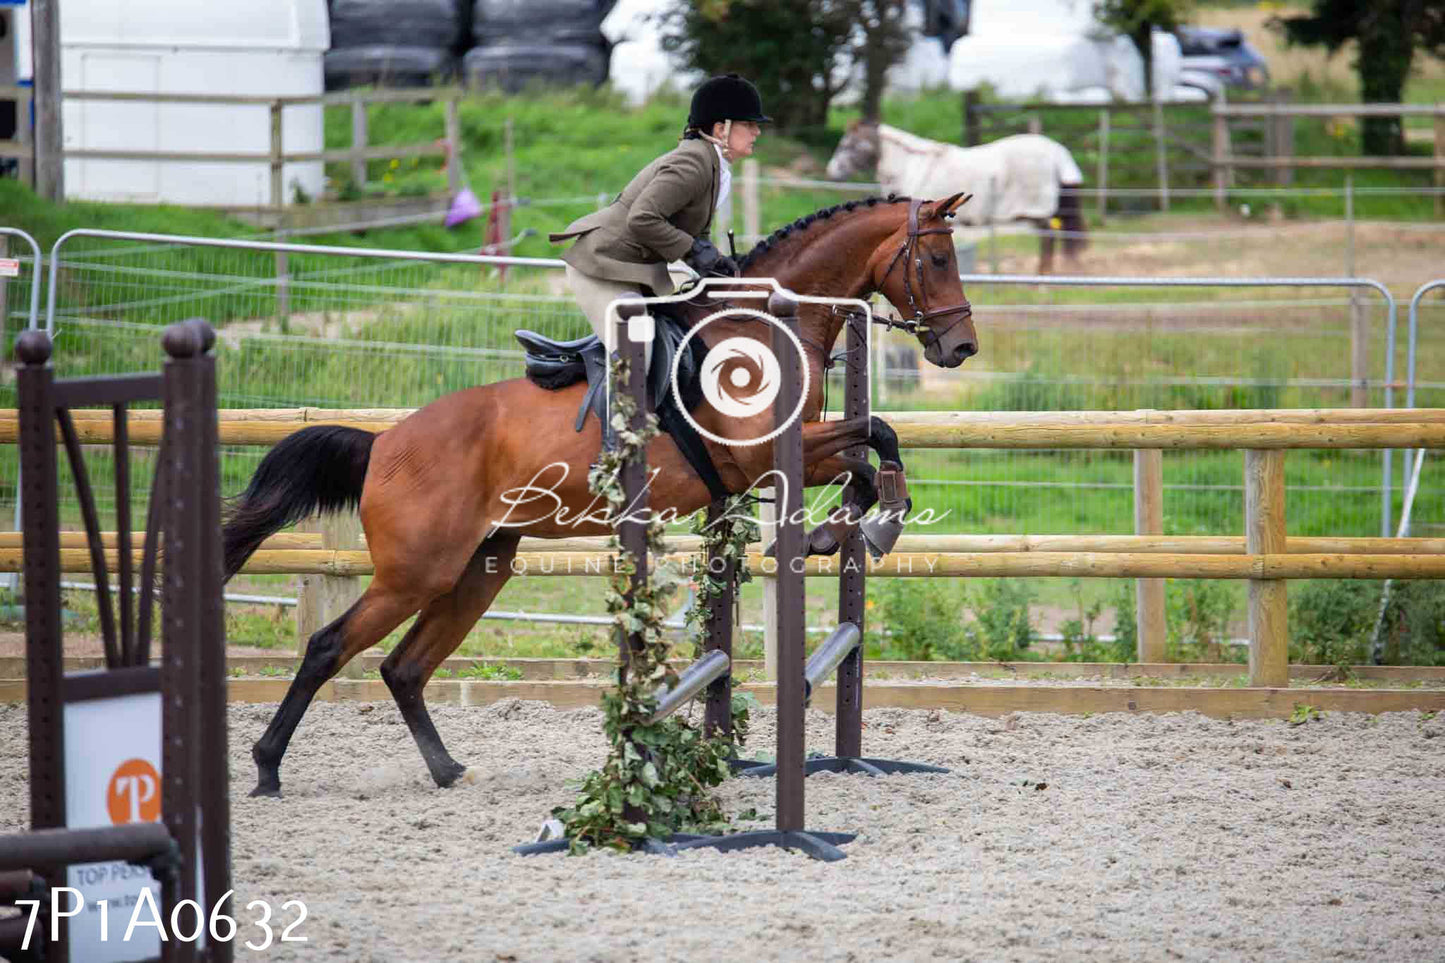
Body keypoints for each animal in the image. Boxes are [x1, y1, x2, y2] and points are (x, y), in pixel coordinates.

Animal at [219, 189, 976, 792]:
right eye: (939, 259)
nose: (961, 348)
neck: (760, 325)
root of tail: (382, 445)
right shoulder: (759, 457)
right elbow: (874, 439)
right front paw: (859, 527)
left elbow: (867, 450)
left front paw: (847, 528)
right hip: (417, 571)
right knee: (328, 648)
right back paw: (267, 767)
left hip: (479, 566)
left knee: (404, 667)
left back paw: (447, 769)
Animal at [826, 120, 1086, 271]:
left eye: (846, 144)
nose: (832, 171)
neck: (912, 165)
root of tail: (1057, 153)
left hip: (1040, 213)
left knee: (1048, 240)